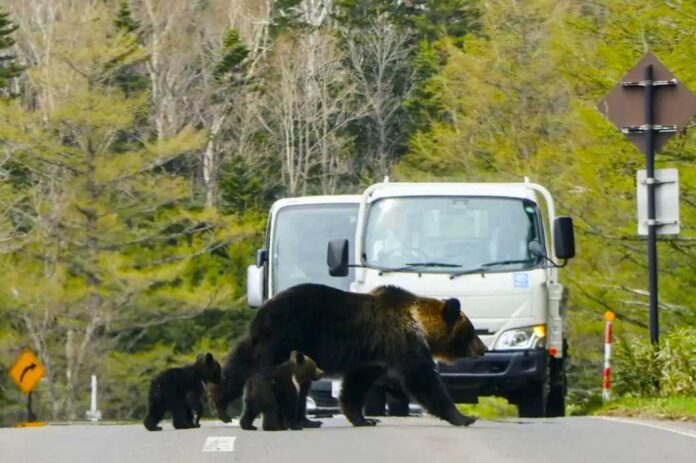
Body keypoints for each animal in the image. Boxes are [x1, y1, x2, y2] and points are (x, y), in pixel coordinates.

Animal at [211, 283, 487, 427]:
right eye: (471, 331)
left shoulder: (373, 356)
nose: (483, 349)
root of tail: (263, 309)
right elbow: (423, 379)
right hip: (283, 337)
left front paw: (362, 418)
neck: (418, 322)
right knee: (253, 367)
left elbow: (356, 384)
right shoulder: (400, 341)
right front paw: (464, 416)